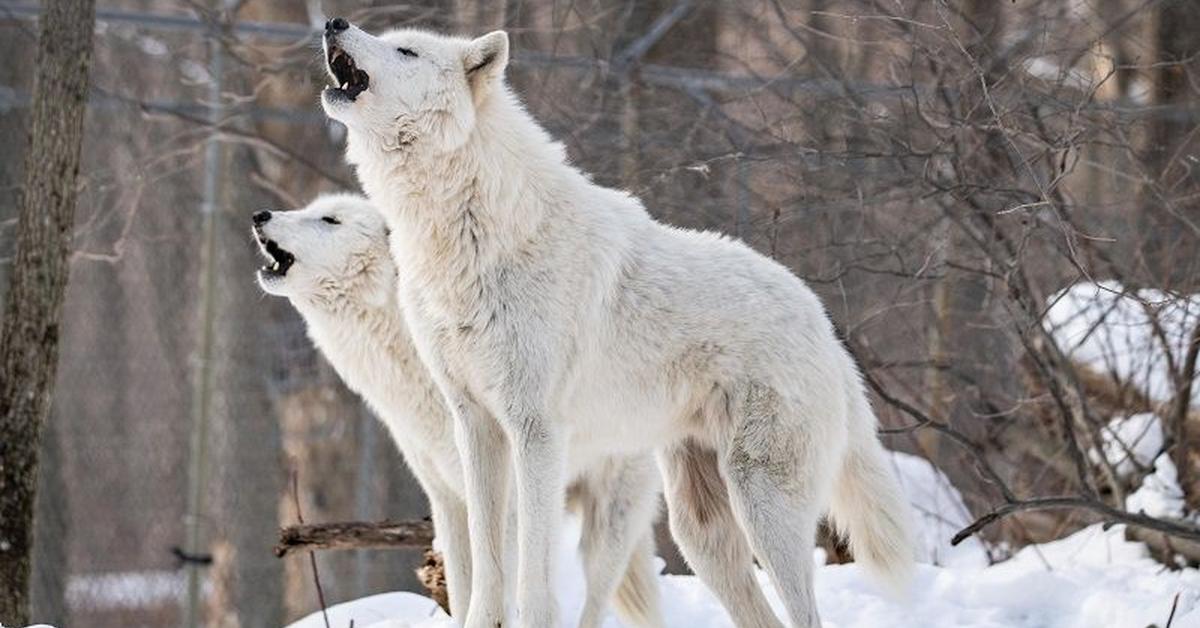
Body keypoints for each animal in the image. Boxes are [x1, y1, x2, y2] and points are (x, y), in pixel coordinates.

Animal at [253, 194, 667, 624]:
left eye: (330, 220)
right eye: (309, 209)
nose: (260, 215)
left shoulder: (505, 497)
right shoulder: (445, 497)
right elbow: (464, 586)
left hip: (611, 519)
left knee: (598, 596)